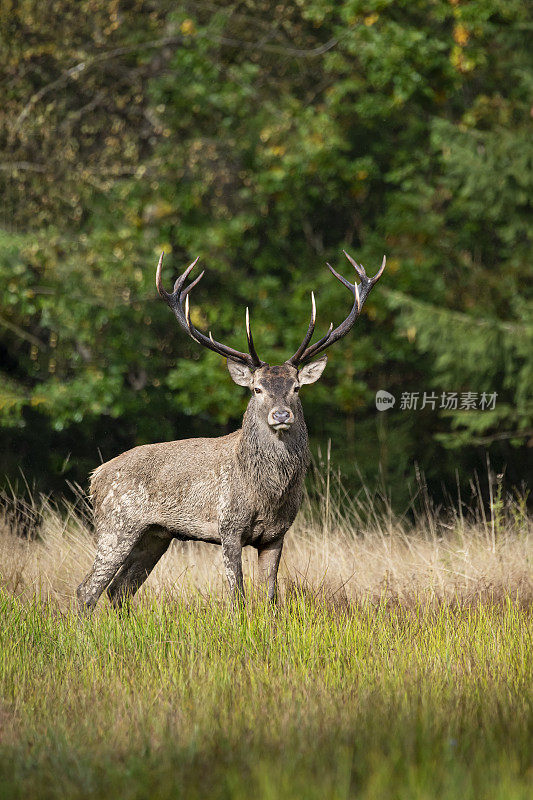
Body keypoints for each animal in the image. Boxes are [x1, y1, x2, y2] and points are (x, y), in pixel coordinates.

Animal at [76, 252, 382, 612]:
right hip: (116, 524)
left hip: (155, 534)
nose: (281, 414)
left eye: (296, 387)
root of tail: (95, 477)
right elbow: (238, 598)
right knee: (87, 590)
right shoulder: (228, 525)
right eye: (256, 389)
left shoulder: (277, 534)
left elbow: (271, 598)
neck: (267, 494)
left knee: (120, 590)